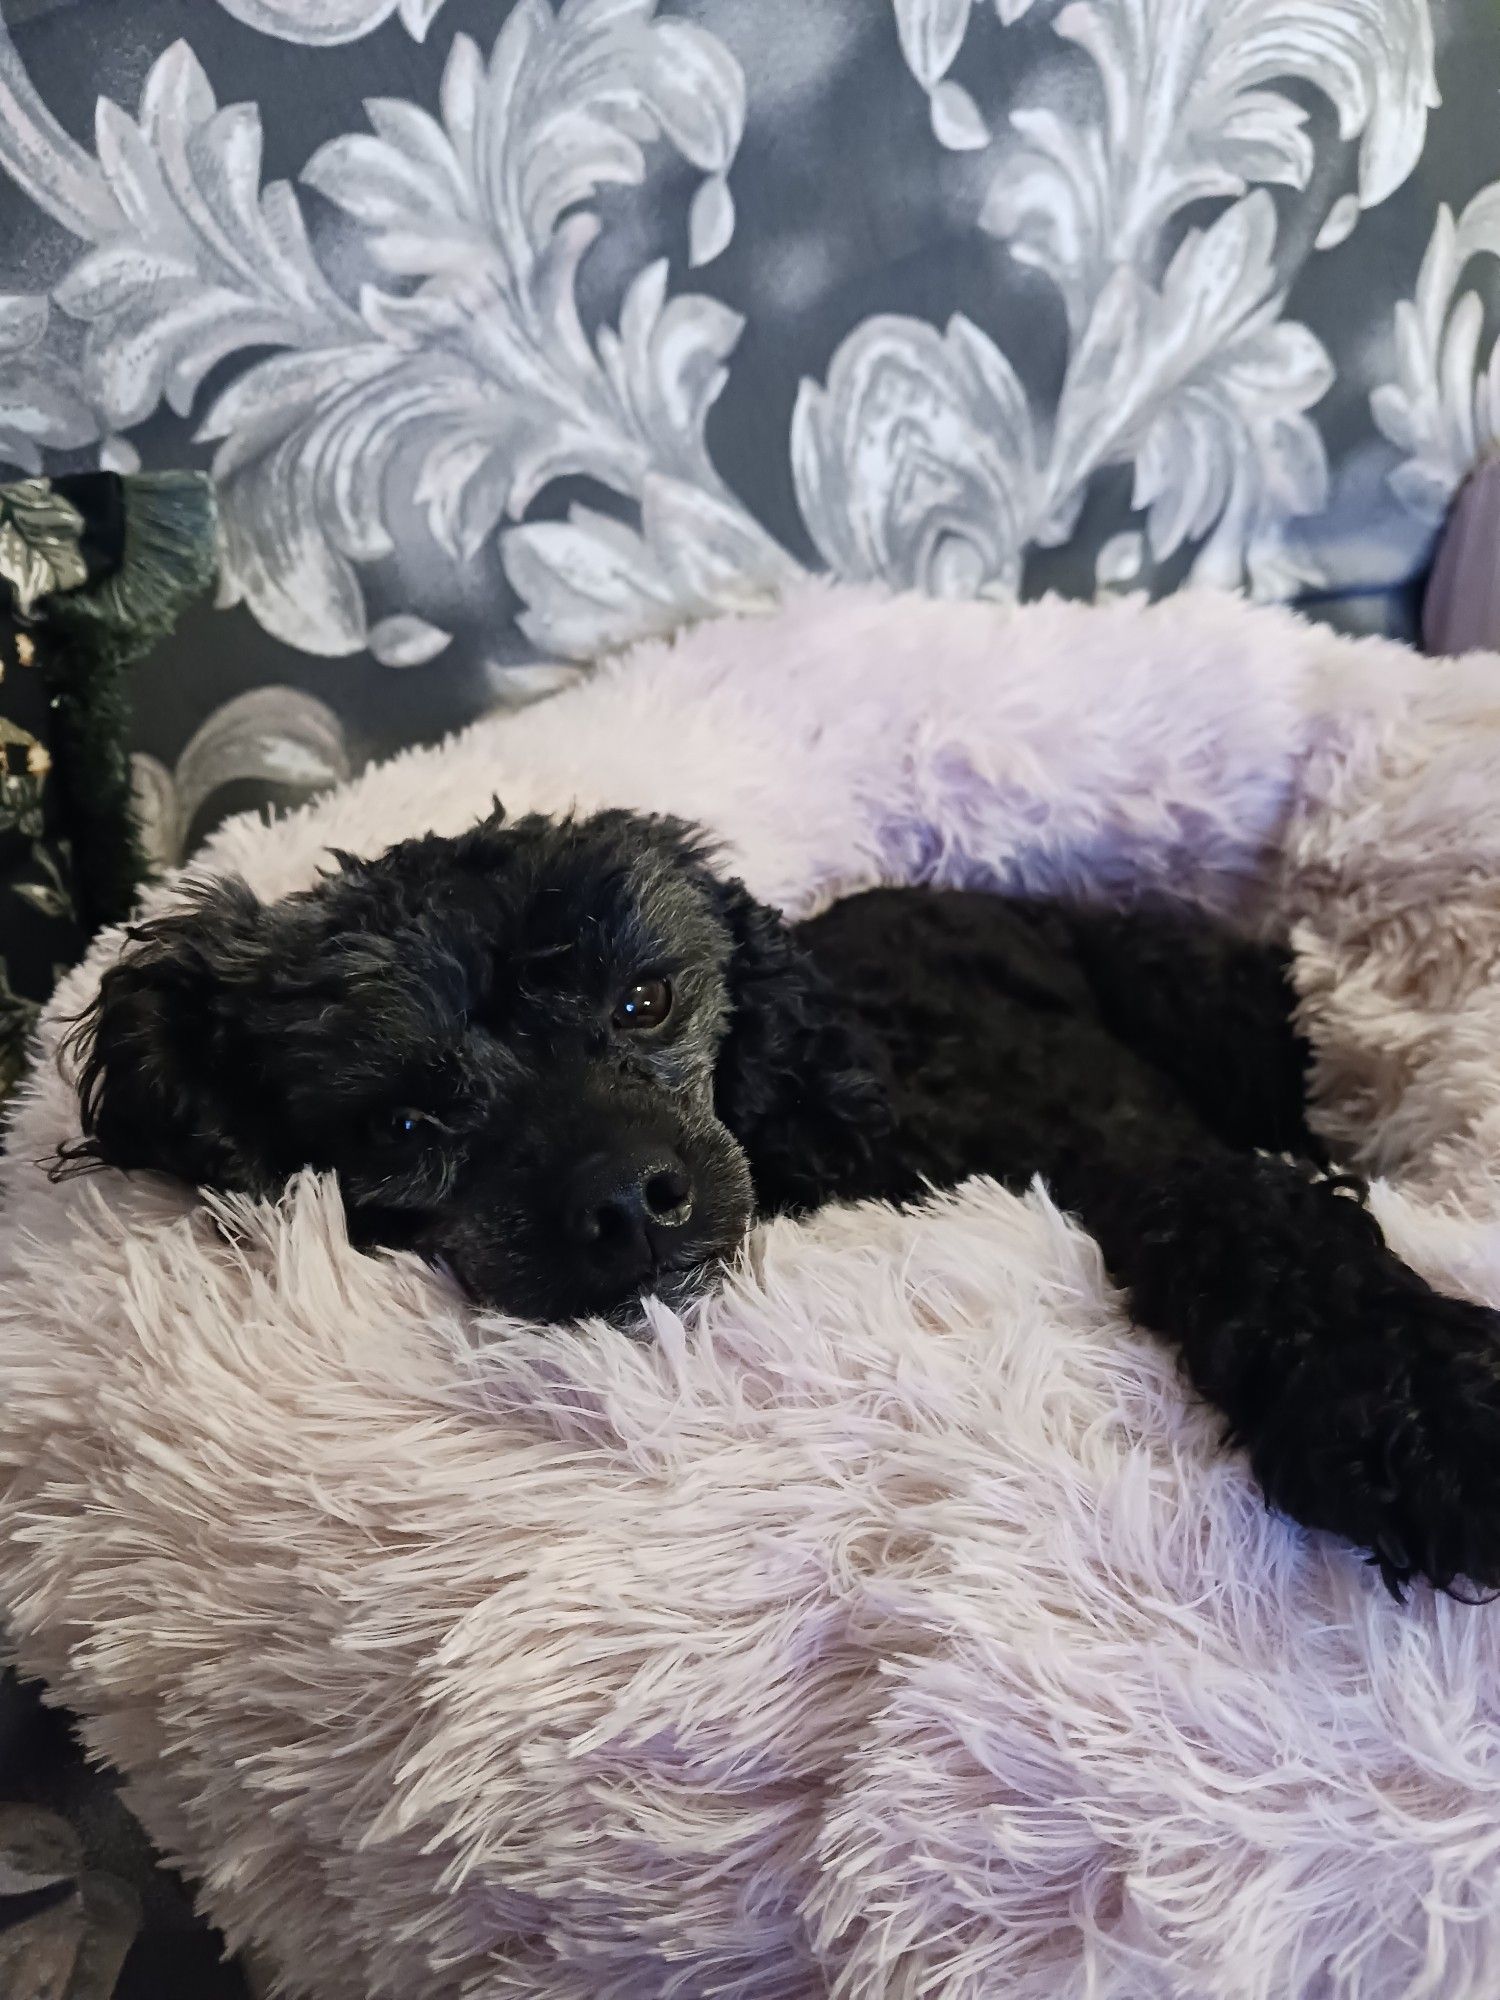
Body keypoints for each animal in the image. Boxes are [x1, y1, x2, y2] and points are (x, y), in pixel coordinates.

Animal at [61, 804, 1500, 1600]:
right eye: (400, 1127)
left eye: (645, 998)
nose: (628, 1203)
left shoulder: (1144, 1155)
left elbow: (1271, 1229)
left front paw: (1432, 1412)